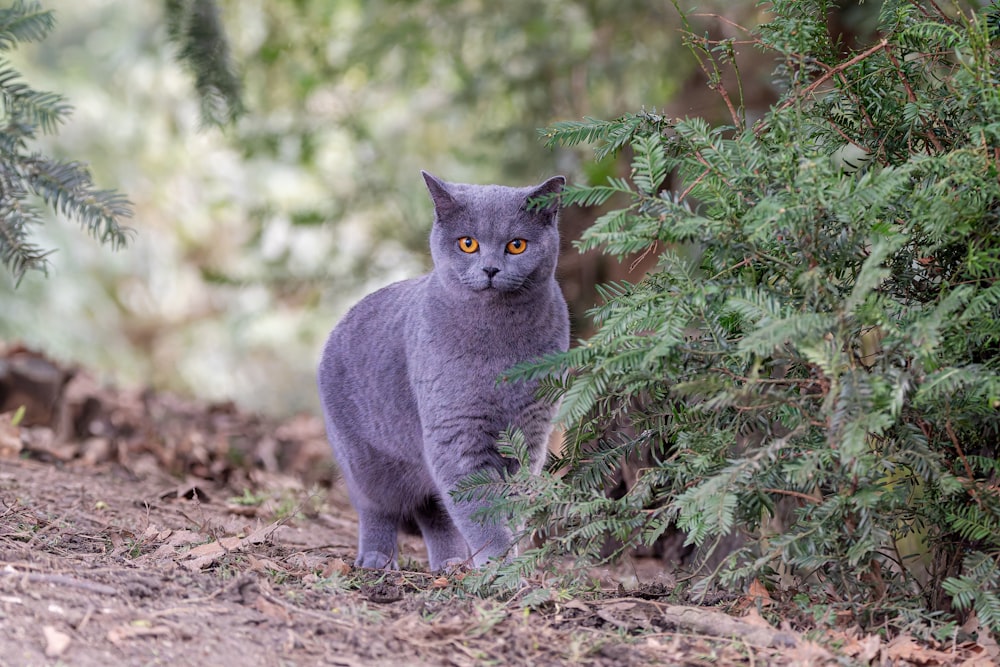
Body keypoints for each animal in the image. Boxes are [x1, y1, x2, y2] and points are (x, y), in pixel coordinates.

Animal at [316, 171, 568, 568]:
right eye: (468, 243)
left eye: (516, 245)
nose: (491, 269)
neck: (500, 343)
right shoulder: (456, 432)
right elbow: (479, 507)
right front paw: (499, 563)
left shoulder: (532, 430)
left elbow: (510, 503)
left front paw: (511, 557)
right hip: (365, 460)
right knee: (377, 508)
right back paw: (376, 559)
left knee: (432, 511)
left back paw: (449, 564)